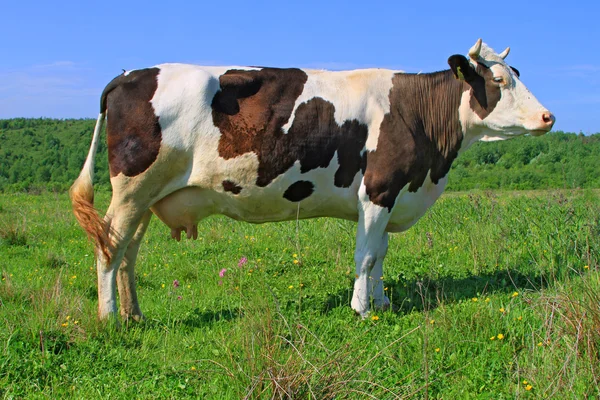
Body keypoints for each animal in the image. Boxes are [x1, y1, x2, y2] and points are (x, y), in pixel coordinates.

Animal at [71, 39, 556, 322]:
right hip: (133, 188)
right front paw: (362, 310)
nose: (548, 117)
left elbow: (381, 254)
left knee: (129, 252)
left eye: (517, 76)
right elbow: (366, 256)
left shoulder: (392, 193)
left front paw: (382, 303)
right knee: (110, 248)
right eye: (499, 81)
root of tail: (130, 74)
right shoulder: (378, 190)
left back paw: (135, 315)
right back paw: (110, 319)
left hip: (148, 195)